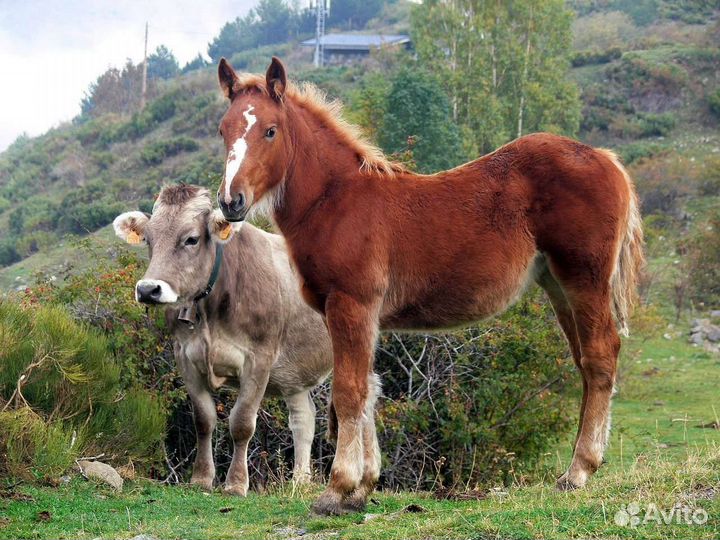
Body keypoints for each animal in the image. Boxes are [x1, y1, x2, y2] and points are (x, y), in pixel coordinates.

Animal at [213, 56, 645, 515]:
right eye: (223, 130)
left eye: (270, 130)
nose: (231, 201)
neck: (336, 200)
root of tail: (605, 158)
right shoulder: (361, 315)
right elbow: (368, 391)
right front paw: (362, 488)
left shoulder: (351, 304)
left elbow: (348, 392)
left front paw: (337, 489)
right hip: (557, 285)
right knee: (584, 361)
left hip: (584, 278)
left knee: (600, 356)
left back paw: (580, 470)